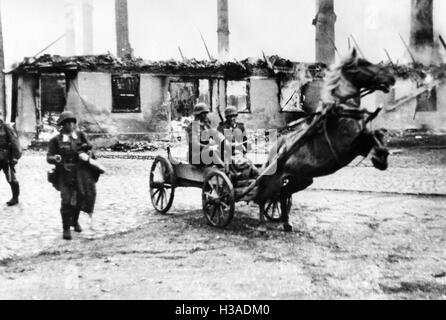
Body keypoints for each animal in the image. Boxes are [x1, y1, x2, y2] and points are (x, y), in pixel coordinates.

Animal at [256, 48, 396, 231]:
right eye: (363, 63)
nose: (391, 78)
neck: (342, 110)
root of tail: (278, 147)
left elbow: (377, 132)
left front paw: (382, 156)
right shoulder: (351, 141)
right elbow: (369, 133)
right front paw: (378, 154)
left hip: (302, 179)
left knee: (282, 194)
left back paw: (286, 223)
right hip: (276, 179)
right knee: (262, 196)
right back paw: (261, 223)